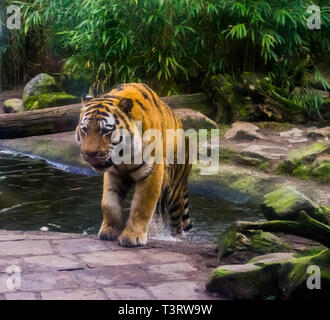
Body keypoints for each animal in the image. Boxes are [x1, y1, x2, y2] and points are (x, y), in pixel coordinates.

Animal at [75, 83, 192, 248]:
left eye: (105, 131)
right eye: (85, 129)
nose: (89, 154)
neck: (123, 156)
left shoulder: (152, 170)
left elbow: (141, 206)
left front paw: (132, 237)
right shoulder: (114, 173)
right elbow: (109, 203)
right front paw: (109, 231)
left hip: (175, 192)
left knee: (176, 224)